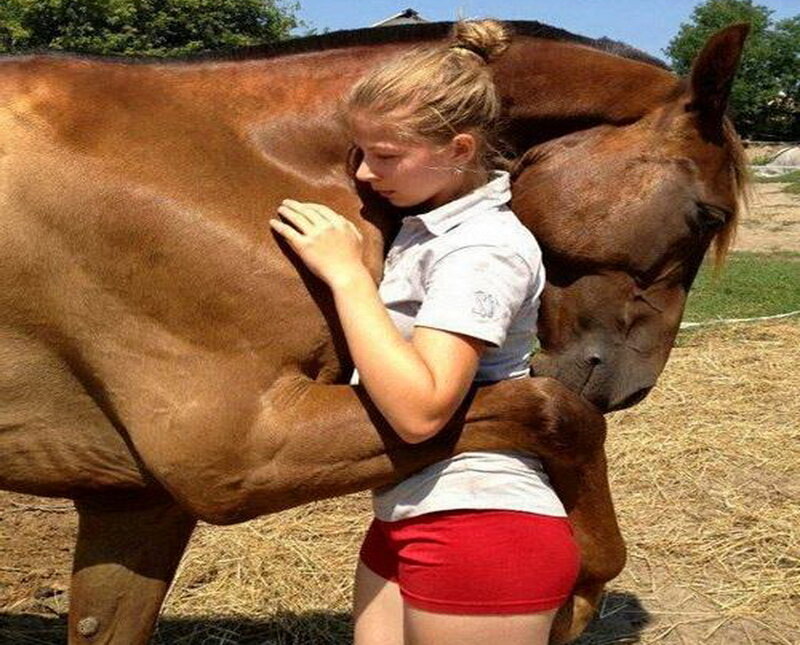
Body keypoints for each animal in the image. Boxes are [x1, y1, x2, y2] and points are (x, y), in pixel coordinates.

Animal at [0, 20, 747, 644]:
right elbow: (558, 413)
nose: (631, 384)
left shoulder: (137, 498)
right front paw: (583, 586)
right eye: (707, 215)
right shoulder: (239, 455)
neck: (223, 162)